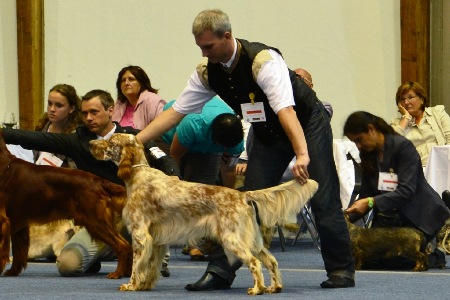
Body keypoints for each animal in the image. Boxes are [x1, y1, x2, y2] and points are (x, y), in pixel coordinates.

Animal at [0, 131, 132, 278]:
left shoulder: (3, 220)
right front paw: (12, 272)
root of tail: (99, 181)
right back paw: (126, 273)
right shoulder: (18, 224)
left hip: (97, 222)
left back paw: (117, 273)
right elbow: (18, 253)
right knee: (127, 245)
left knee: (122, 245)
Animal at [89, 134, 318, 296]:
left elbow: (137, 265)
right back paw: (274, 287)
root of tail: (241, 194)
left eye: (110, 141)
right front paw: (144, 285)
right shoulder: (157, 240)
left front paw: (130, 285)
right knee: (271, 260)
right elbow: (151, 266)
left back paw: (257, 289)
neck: (138, 175)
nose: (91, 143)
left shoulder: (140, 235)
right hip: (251, 239)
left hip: (232, 239)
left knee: (254, 262)